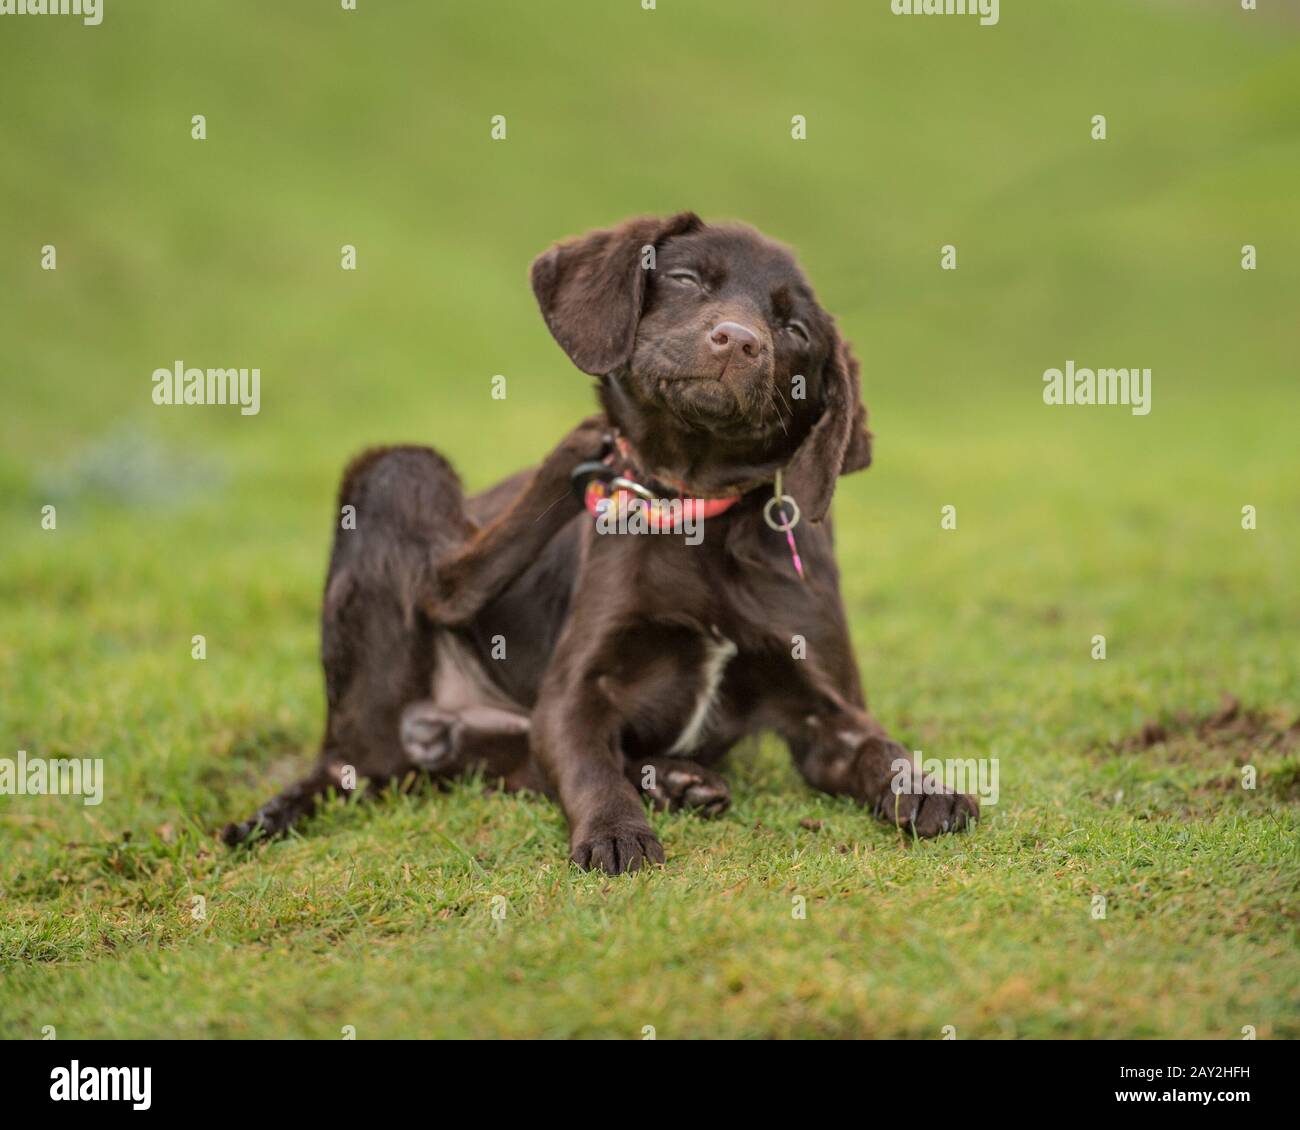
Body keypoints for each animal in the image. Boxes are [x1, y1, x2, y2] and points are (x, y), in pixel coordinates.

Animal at [223, 215, 977, 868]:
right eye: (686, 280)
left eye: (793, 328)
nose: (740, 341)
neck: (693, 511)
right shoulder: (574, 691)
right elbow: (591, 767)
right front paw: (617, 833)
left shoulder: (828, 711)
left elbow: (881, 746)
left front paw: (926, 787)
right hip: (398, 471)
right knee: (430, 617)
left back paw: (675, 778)